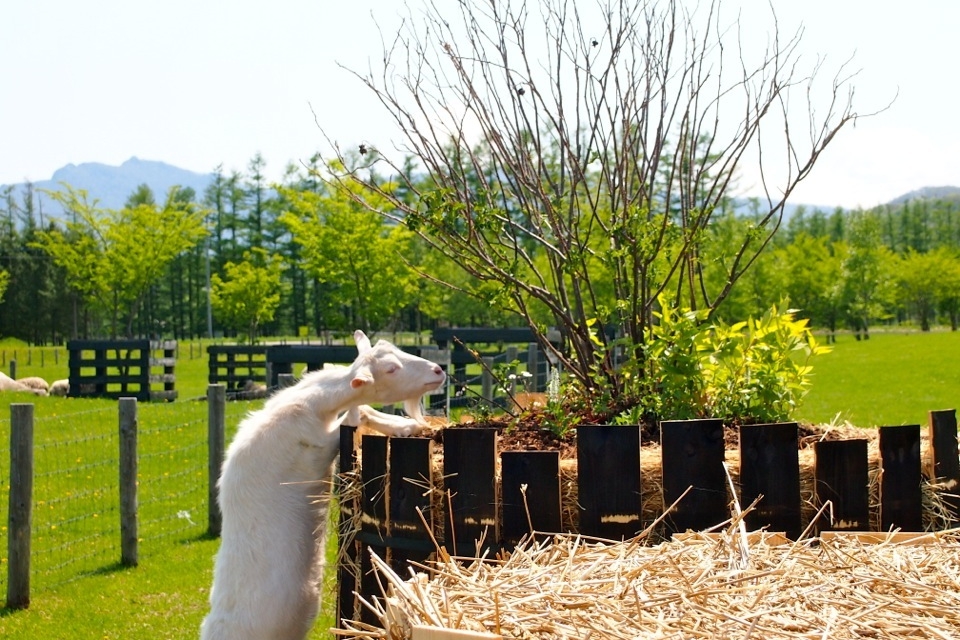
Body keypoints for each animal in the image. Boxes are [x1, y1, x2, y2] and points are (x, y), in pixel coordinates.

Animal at [201, 330, 448, 640]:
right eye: (391, 369)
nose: (439, 370)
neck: (314, 404)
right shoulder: (318, 448)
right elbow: (357, 415)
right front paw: (405, 427)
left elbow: (362, 409)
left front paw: (402, 424)